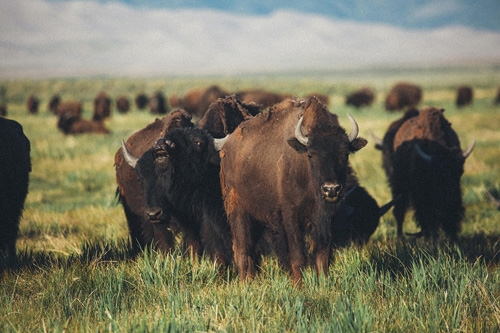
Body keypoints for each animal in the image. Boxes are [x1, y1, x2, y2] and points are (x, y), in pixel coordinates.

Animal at [220, 96, 368, 282]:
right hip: (238, 211)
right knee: (242, 250)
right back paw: (245, 283)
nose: (331, 189)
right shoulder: (291, 217)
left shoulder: (324, 220)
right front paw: (299, 284)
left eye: (345, 154)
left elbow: (322, 256)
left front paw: (324, 283)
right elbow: (298, 256)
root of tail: (227, 146)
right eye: (311, 154)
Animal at [388, 106, 474, 239]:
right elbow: (426, 217)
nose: (452, 200)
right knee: (400, 211)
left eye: (460, 171)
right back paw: (400, 237)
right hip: (398, 185)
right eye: (437, 173)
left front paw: (453, 239)